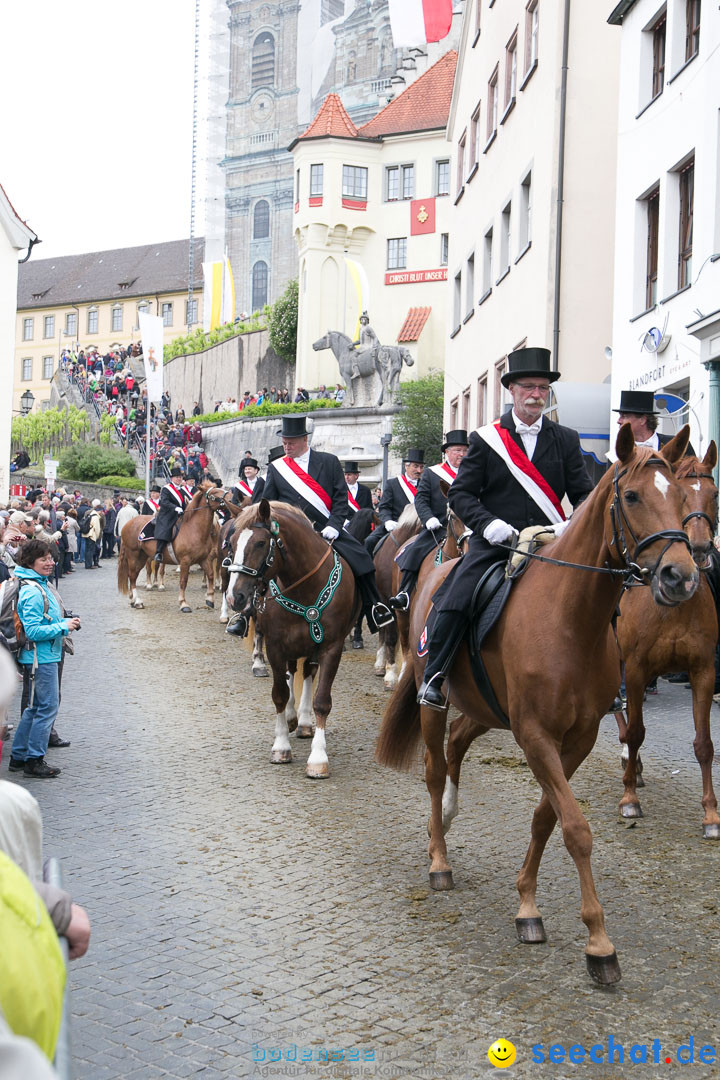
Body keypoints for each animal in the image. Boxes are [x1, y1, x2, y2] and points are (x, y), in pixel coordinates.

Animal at [225, 498, 360, 777]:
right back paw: (291, 717)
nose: (235, 597)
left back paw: (305, 722)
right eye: (230, 543)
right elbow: (279, 693)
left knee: (307, 673)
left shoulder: (331, 648)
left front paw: (318, 758)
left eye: (260, 543)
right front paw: (280, 747)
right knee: (291, 675)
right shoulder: (276, 647)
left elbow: (322, 701)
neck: (304, 587)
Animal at [375, 425, 699, 984]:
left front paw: (528, 904)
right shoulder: (535, 736)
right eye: (633, 497)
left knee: (458, 743)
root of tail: (440, 565)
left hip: (486, 708)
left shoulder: (577, 738)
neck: (571, 616)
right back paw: (439, 859)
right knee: (435, 768)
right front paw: (599, 944)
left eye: (681, 497)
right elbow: (576, 828)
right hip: (432, 697)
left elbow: (547, 818)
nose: (681, 577)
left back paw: (452, 815)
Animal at [613, 440, 720, 833]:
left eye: (713, 494)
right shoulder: (637, 668)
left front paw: (710, 813)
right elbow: (636, 731)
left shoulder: (703, 670)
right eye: (683, 496)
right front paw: (629, 799)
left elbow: (705, 743)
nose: (700, 548)